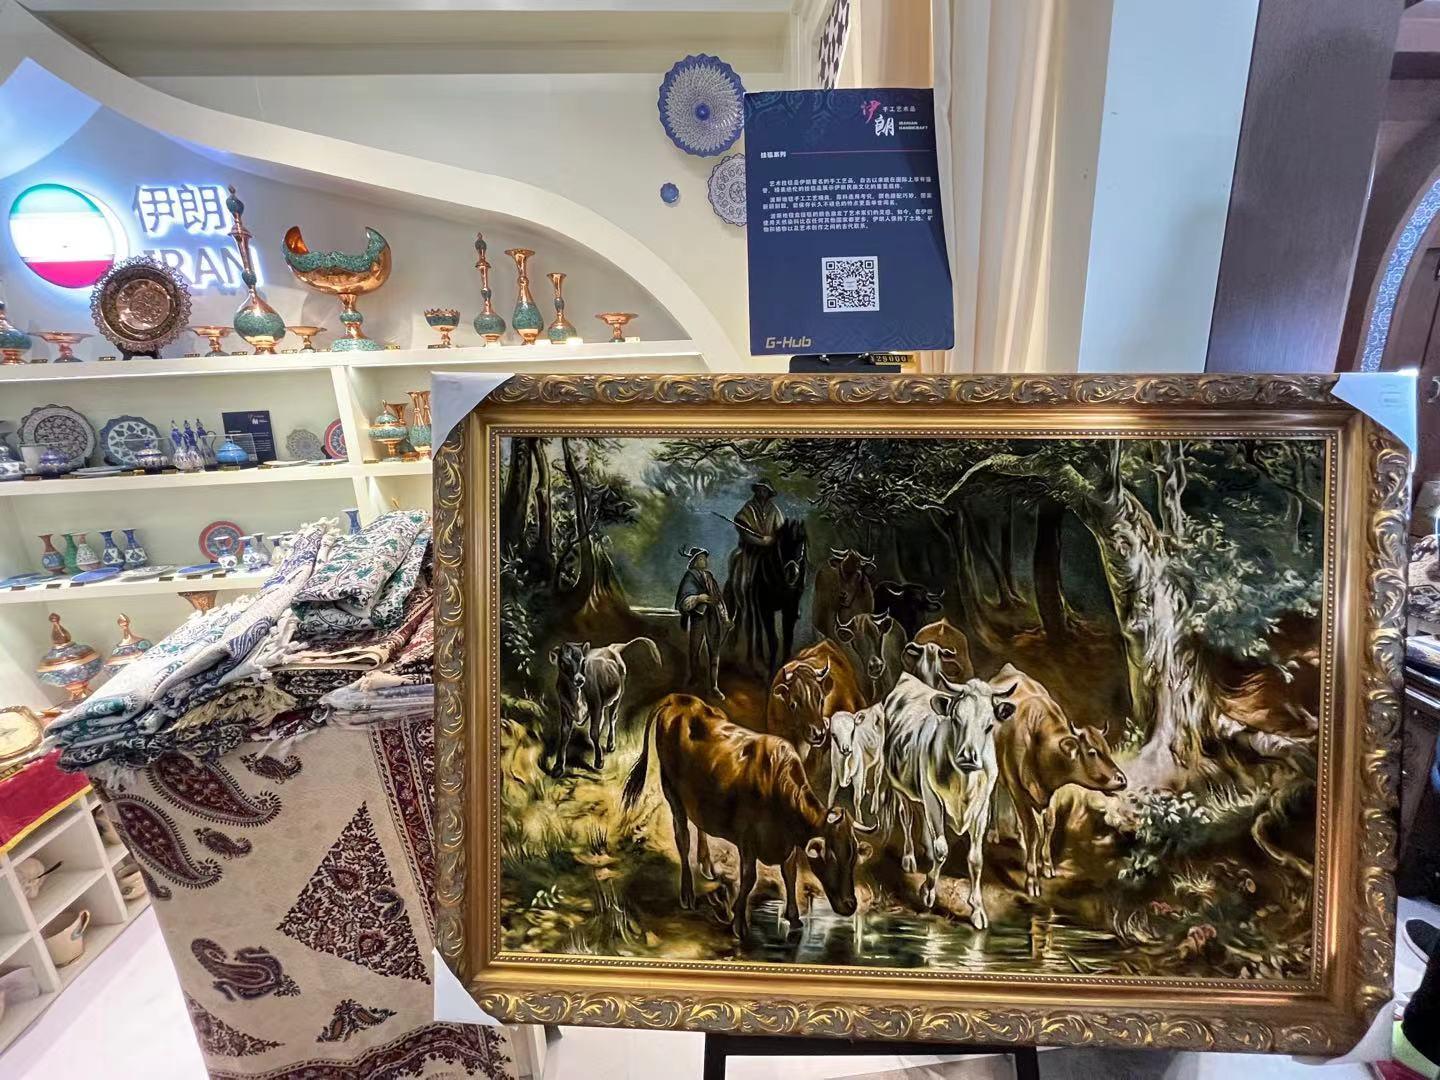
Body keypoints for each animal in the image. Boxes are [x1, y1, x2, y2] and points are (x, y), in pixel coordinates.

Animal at [579, 637, 662, 770]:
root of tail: (611, 647)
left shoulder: (596, 707)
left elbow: (594, 732)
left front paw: (598, 761)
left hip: (619, 693)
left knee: (612, 717)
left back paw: (610, 744)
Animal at [622, 693, 875, 936]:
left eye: (853, 856)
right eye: (832, 856)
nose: (851, 905)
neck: (777, 786)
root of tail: (680, 700)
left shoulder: (788, 843)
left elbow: (790, 874)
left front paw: (793, 918)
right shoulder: (747, 840)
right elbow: (749, 878)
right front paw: (739, 922)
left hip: (699, 797)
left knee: (700, 825)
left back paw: (707, 865)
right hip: (672, 792)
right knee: (682, 837)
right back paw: (687, 893)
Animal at [726, 519, 808, 675]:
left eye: (802, 545)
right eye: (782, 544)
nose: (792, 573)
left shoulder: (789, 610)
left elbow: (788, 639)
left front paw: (786, 668)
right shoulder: (766, 609)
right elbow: (773, 640)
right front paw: (771, 674)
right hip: (744, 606)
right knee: (747, 627)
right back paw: (746, 660)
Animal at [882, 672, 1014, 927]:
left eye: (989, 726)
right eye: (956, 719)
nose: (968, 756)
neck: (964, 781)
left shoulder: (981, 808)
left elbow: (975, 859)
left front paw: (977, 910)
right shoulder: (933, 797)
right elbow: (942, 850)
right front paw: (927, 891)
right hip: (900, 787)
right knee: (907, 818)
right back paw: (909, 858)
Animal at [989, 663, 1126, 898]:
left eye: (1108, 750)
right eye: (1092, 752)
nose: (1122, 780)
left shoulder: (1050, 792)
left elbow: (1049, 824)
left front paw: (1047, 865)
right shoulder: (1018, 789)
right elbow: (1033, 833)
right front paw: (1032, 879)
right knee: (994, 793)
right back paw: (994, 832)